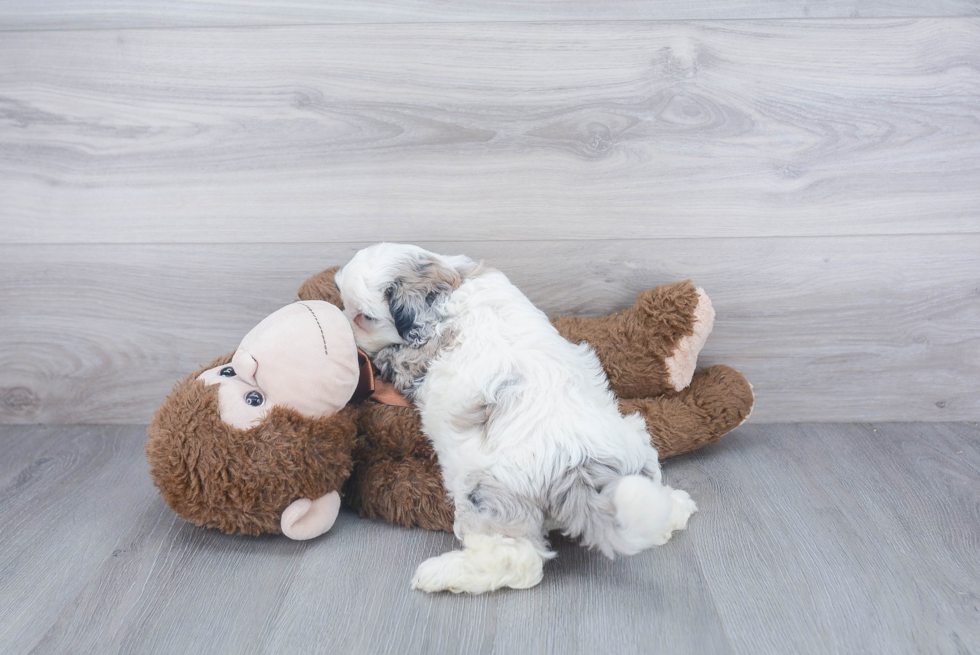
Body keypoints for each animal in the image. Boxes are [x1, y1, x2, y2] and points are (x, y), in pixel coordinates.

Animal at [336, 245, 696, 596]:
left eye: (364, 317)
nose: (342, 326)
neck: (452, 283)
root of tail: (576, 468)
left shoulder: (412, 359)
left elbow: (391, 357)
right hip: (635, 441)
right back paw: (674, 509)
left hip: (484, 495)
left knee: (518, 559)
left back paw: (443, 574)